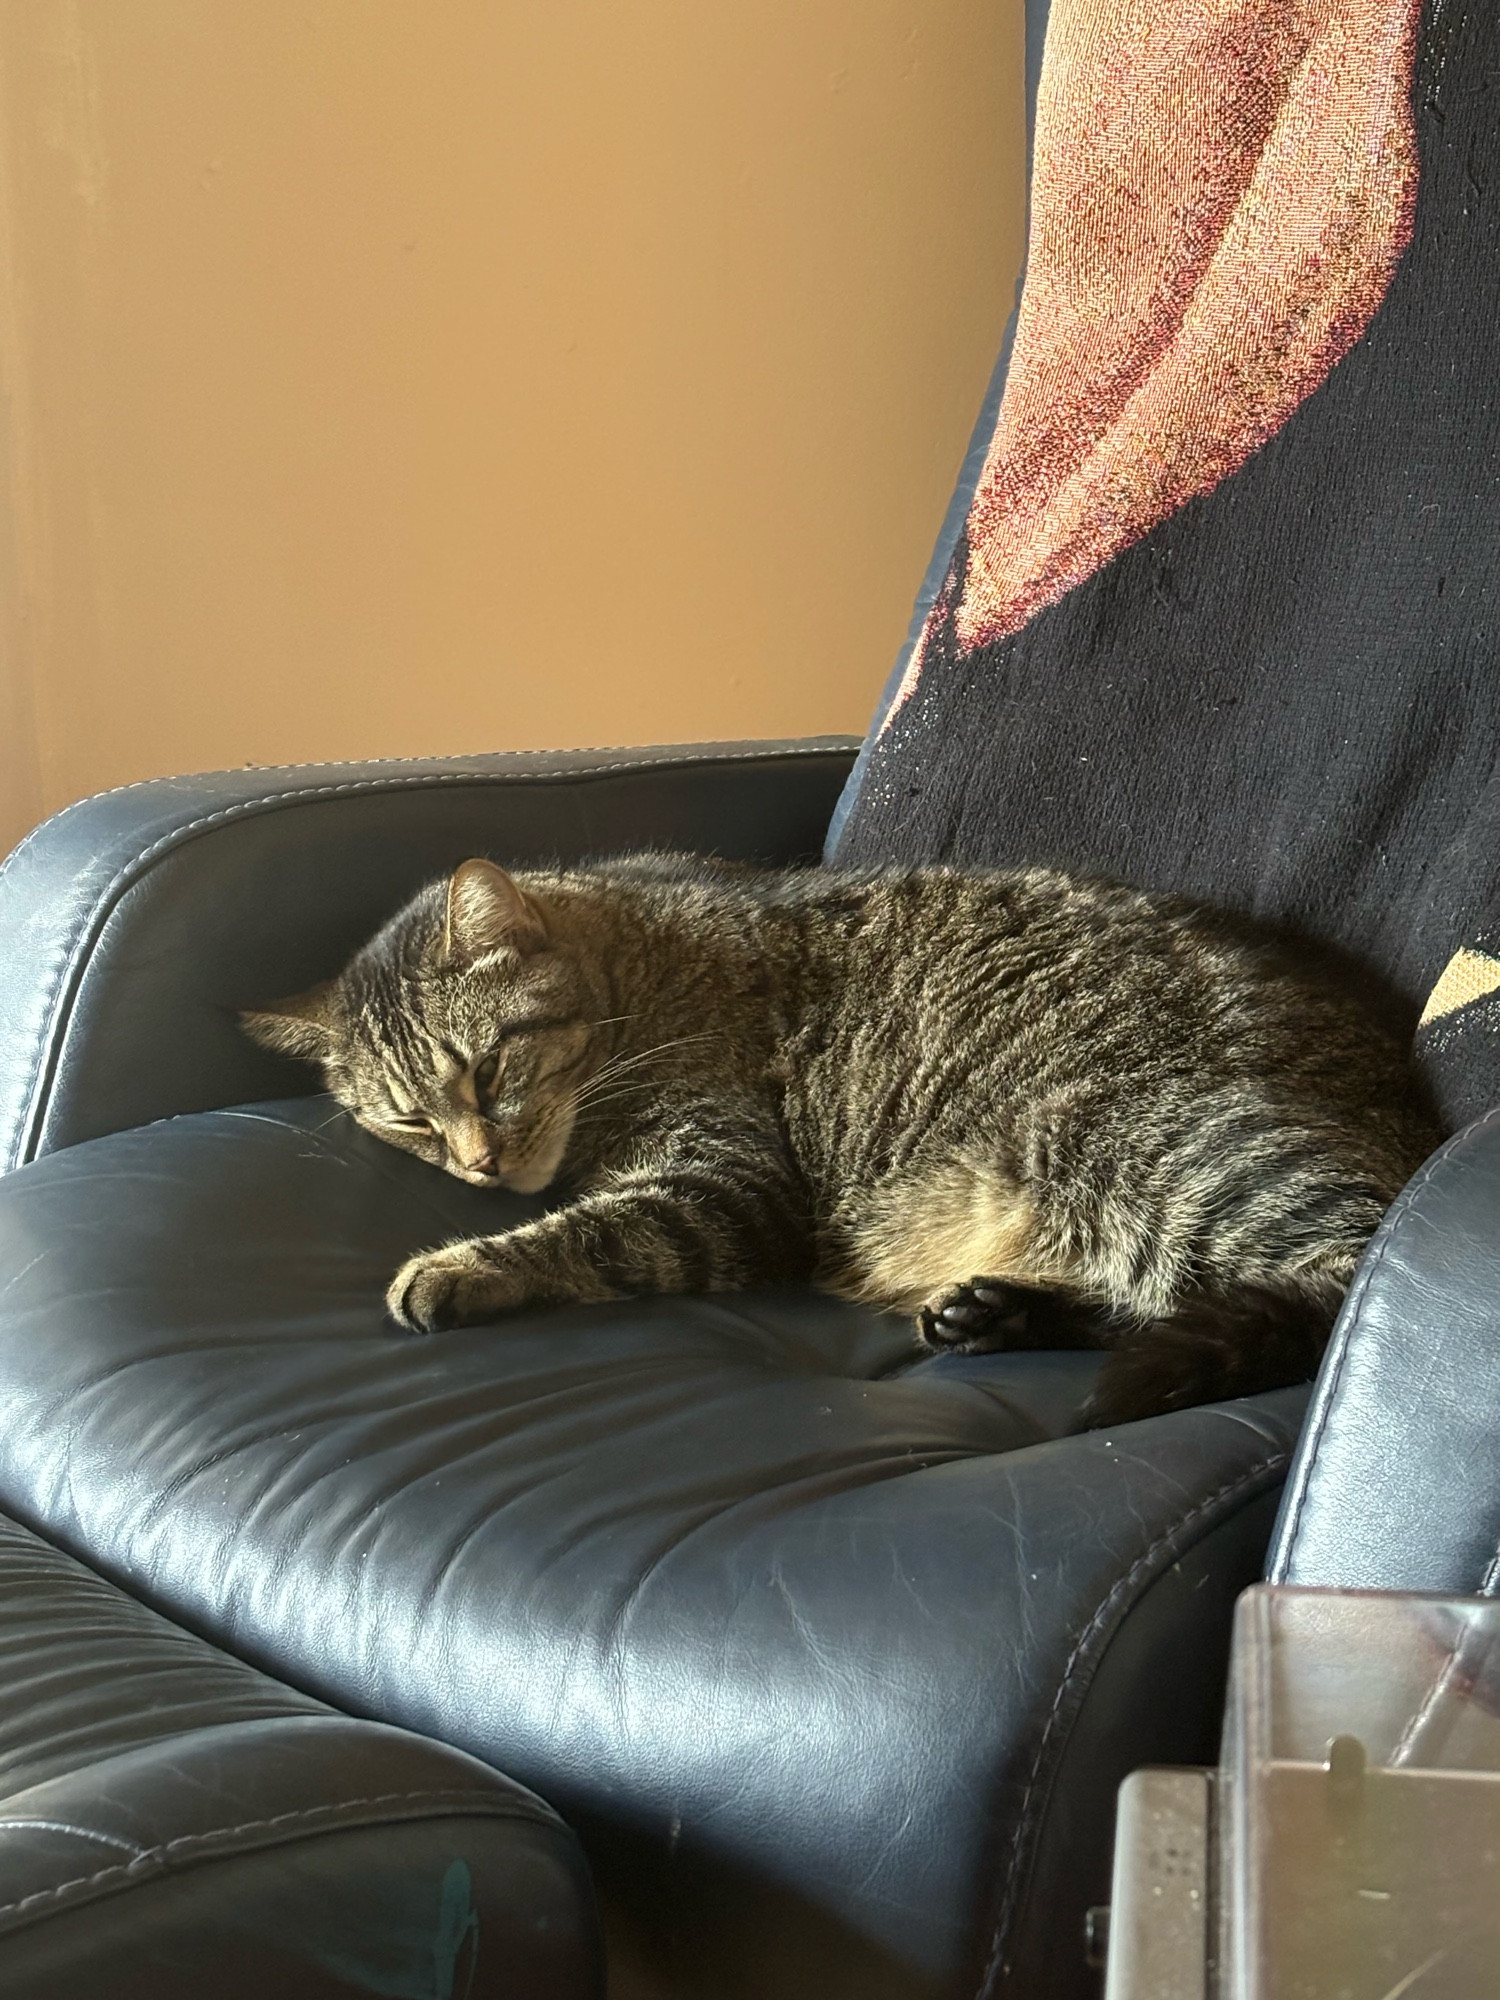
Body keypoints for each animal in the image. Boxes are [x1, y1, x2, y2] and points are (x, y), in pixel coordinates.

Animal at [247, 852, 1448, 1432]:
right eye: (407, 1118)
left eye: (488, 1070)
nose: (479, 1166)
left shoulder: (729, 1187)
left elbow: (592, 1233)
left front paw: (455, 1267)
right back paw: (995, 1311)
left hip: (1119, 1135)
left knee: (1323, 1289)